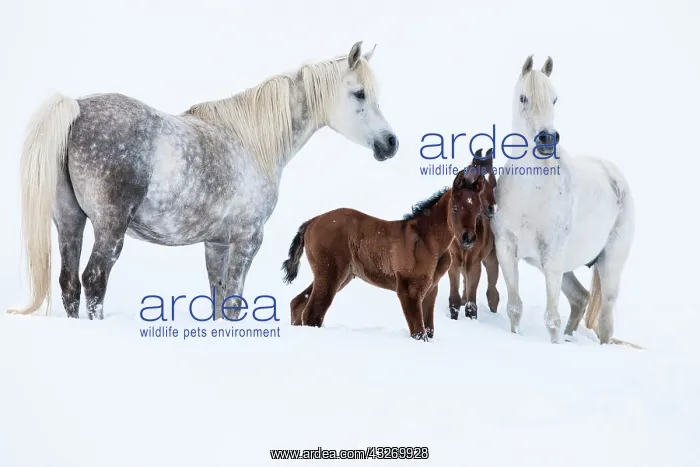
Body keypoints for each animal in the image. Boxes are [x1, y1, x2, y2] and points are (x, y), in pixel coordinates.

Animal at [9, 41, 399, 321]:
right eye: (360, 93)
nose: (391, 143)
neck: (251, 142)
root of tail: (76, 108)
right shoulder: (247, 240)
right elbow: (234, 303)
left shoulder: (216, 244)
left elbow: (217, 301)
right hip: (110, 226)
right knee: (94, 279)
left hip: (69, 221)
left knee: (69, 282)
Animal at [281, 169, 488, 341]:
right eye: (455, 208)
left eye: (478, 210)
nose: (468, 238)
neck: (429, 241)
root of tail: (312, 221)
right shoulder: (408, 289)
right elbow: (419, 333)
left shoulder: (431, 289)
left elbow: (429, 330)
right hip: (331, 273)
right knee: (312, 314)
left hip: (339, 275)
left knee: (297, 303)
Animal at [447, 148, 500, 320]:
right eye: (455, 208)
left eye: (495, 183)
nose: (491, 208)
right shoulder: (454, 261)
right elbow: (455, 299)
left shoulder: (475, 263)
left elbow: (472, 304)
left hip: (492, 258)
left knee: (492, 293)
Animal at [490, 55, 637, 346]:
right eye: (523, 98)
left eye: (555, 99)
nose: (547, 139)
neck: (531, 193)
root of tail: (614, 175)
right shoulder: (506, 250)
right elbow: (515, 307)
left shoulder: (553, 258)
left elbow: (552, 319)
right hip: (562, 268)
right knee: (580, 299)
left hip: (608, 265)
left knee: (605, 322)